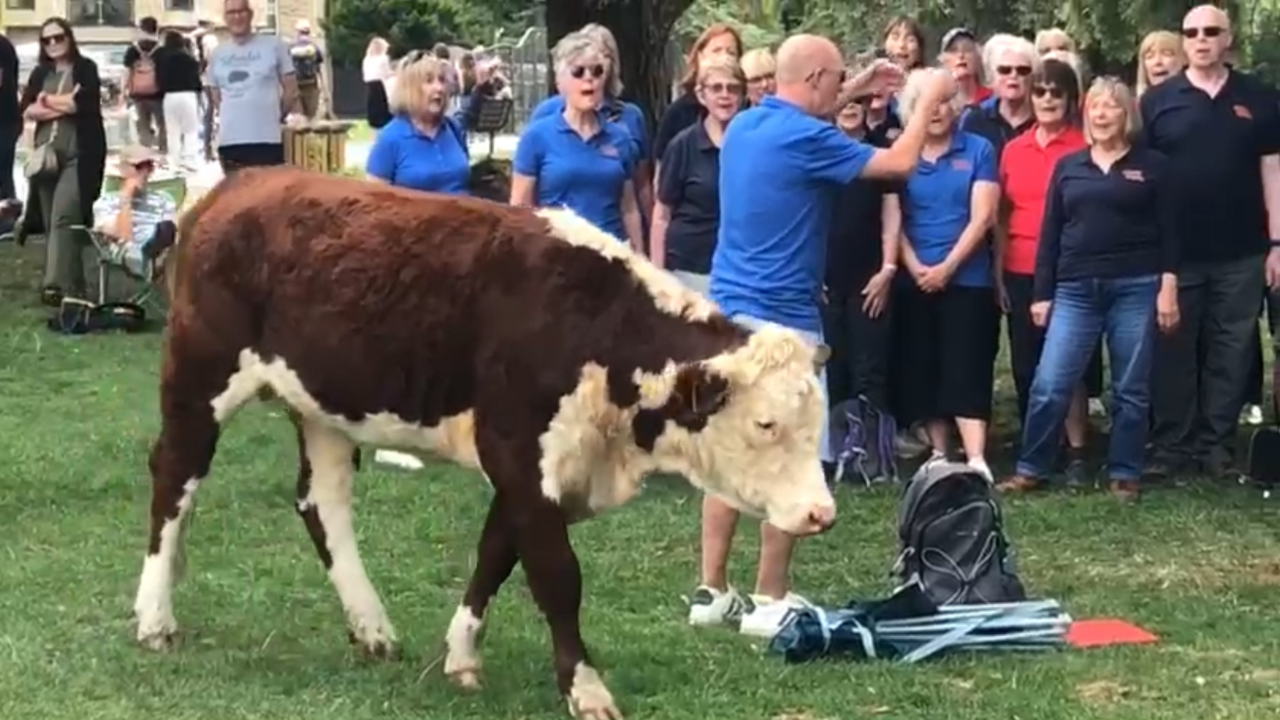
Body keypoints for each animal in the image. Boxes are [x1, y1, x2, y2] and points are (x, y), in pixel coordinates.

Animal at [135, 166, 834, 712]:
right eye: (766, 424)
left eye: (816, 425)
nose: (820, 514)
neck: (597, 328)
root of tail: (239, 184)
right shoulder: (520, 453)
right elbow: (555, 575)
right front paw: (585, 688)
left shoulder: (539, 470)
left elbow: (496, 555)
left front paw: (462, 655)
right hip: (199, 378)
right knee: (173, 479)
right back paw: (154, 619)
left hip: (324, 406)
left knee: (321, 505)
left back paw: (372, 627)